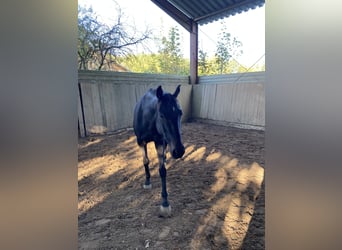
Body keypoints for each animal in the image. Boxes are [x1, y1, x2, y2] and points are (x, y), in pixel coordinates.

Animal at [134, 84, 186, 217]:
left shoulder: (159, 142)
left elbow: (162, 170)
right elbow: (145, 161)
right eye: (161, 115)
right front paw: (147, 181)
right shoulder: (140, 142)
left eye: (180, 113)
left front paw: (165, 203)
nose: (179, 151)